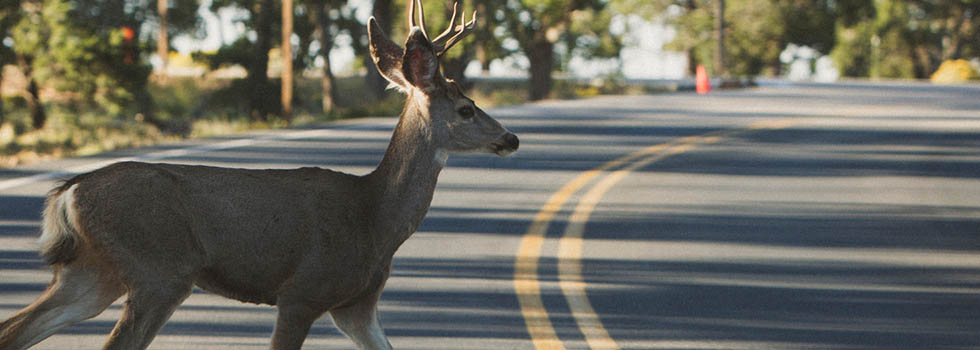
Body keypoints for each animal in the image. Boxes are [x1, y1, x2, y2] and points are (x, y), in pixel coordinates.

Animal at [0, 1, 520, 348]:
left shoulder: (356, 306)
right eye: (467, 109)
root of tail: (68, 192)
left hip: (92, 272)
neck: (373, 218)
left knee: (16, 329)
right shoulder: (302, 292)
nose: (511, 138)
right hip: (158, 269)